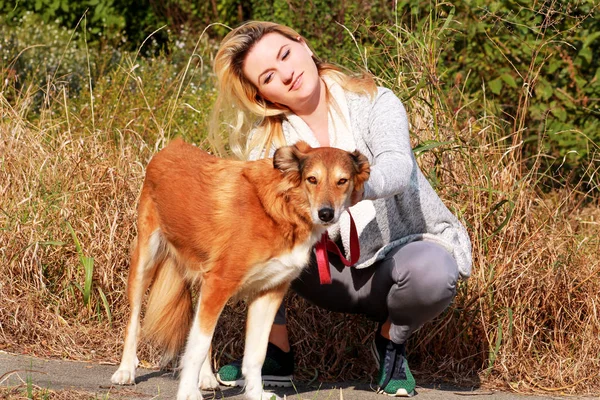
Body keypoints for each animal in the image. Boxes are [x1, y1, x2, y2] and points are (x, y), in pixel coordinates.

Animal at [110, 138, 368, 400]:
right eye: (312, 179)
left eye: (342, 181)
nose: (326, 214)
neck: (282, 210)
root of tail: (170, 147)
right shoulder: (220, 283)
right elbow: (196, 348)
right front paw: (187, 393)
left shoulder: (268, 293)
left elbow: (255, 355)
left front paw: (255, 393)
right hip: (146, 260)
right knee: (135, 319)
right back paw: (126, 370)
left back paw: (206, 377)